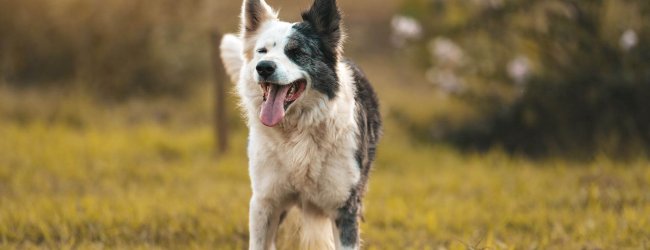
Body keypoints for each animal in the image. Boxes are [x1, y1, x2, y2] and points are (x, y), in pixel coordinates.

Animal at [220, 0, 380, 248]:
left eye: (296, 52)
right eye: (262, 51)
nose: (264, 67)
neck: (297, 132)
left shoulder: (345, 207)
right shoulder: (264, 202)